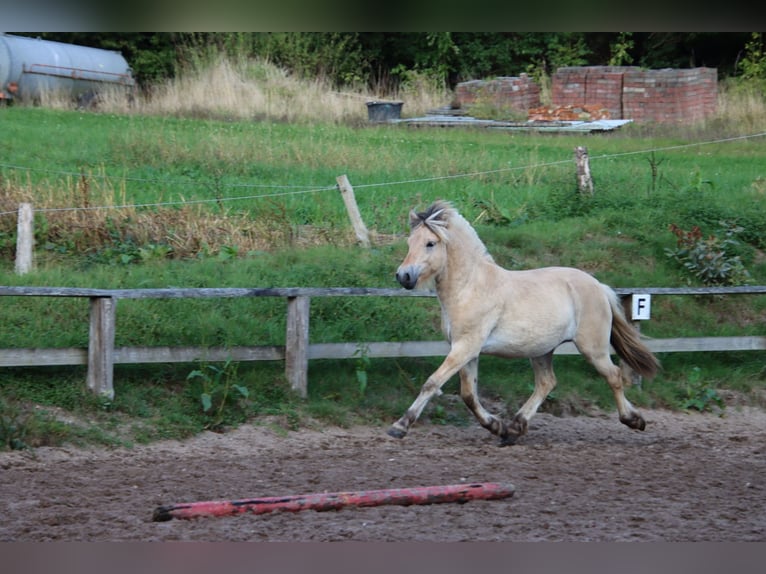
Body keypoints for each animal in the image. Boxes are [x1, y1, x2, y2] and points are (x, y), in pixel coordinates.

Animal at [390, 200, 660, 448]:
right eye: (410, 243)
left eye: (430, 243)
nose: (403, 276)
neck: (469, 287)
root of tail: (600, 287)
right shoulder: (466, 349)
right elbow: (468, 395)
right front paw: (496, 426)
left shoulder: (465, 347)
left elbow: (432, 383)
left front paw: (399, 427)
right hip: (541, 350)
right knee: (546, 382)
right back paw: (514, 428)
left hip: (593, 348)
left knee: (613, 376)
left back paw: (633, 420)